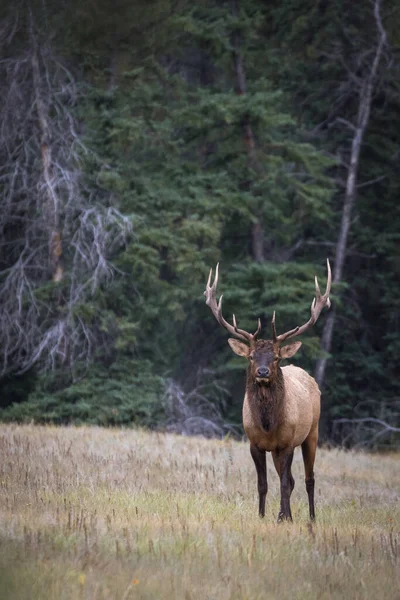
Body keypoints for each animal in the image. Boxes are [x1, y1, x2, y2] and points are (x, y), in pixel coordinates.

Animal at [203, 262, 332, 520]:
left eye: (275, 357)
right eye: (252, 356)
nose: (262, 372)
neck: (267, 424)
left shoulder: (288, 442)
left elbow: (282, 484)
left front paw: (285, 517)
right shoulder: (255, 443)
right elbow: (263, 484)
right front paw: (264, 516)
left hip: (312, 432)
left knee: (308, 479)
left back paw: (311, 517)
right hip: (277, 450)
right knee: (292, 480)